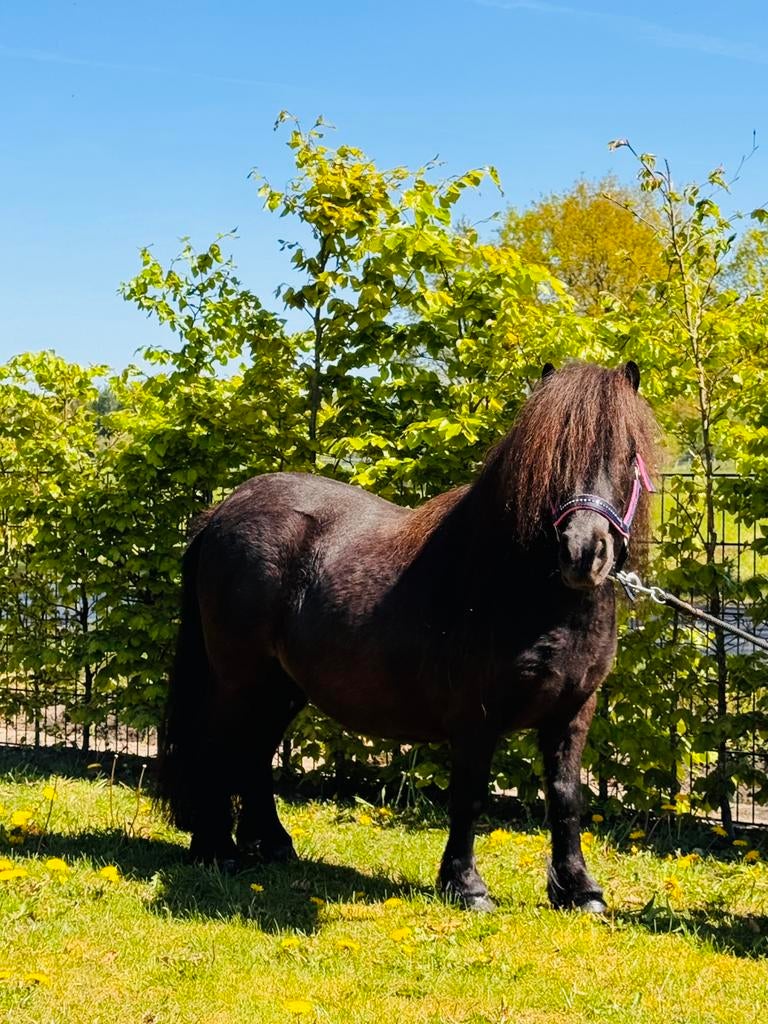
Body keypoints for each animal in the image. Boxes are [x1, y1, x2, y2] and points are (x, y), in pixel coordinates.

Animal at [157, 359, 657, 913]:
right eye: (552, 457)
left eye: (626, 454)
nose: (583, 552)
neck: (523, 589)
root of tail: (224, 511)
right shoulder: (475, 715)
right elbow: (470, 795)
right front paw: (466, 885)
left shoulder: (573, 710)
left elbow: (567, 795)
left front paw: (580, 890)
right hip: (237, 677)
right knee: (216, 743)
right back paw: (216, 849)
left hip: (279, 686)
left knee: (254, 750)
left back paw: (271, 843)